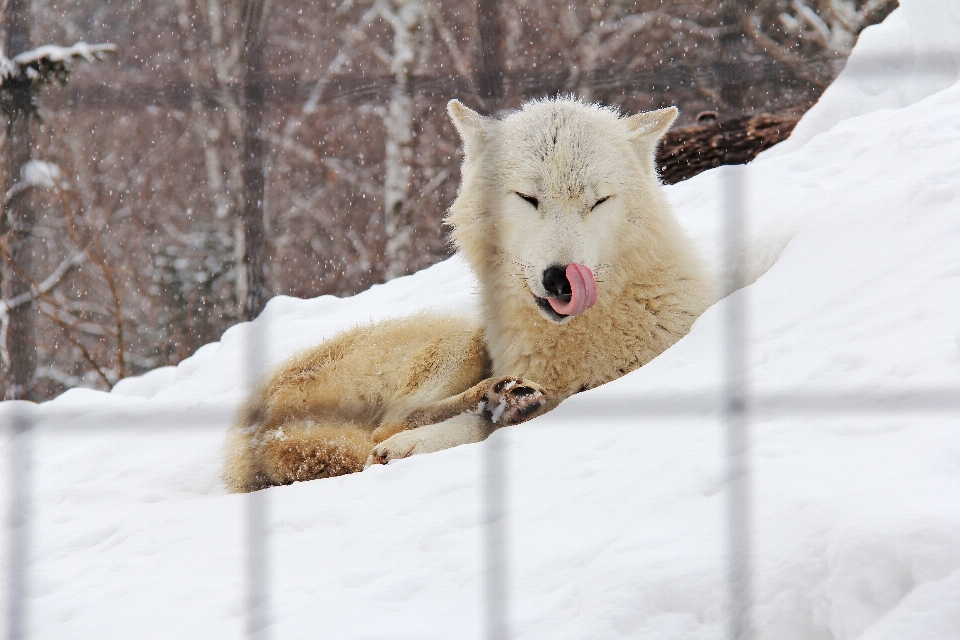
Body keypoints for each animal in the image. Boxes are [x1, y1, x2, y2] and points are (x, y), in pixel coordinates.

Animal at [223, 97, 712, 492]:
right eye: (527, 198)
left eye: (599, 201)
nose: (562, 279)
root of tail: (247, 436)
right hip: (459, 338)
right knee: (385, 429)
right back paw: (492, 397)